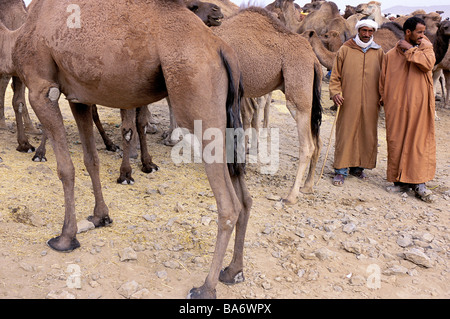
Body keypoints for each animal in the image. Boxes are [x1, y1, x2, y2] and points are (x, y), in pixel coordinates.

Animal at [3, 0, 250, 300]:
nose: (216, 12)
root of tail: (221, 48)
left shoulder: (41, 88)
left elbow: (65, 169)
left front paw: (66, 237)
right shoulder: (79, 97)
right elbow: (91, 160)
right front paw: (100, 216)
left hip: (197, 99)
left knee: (229, 203)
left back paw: (205, 287)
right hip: (227, 114)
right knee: (245, 197)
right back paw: (233, 271)